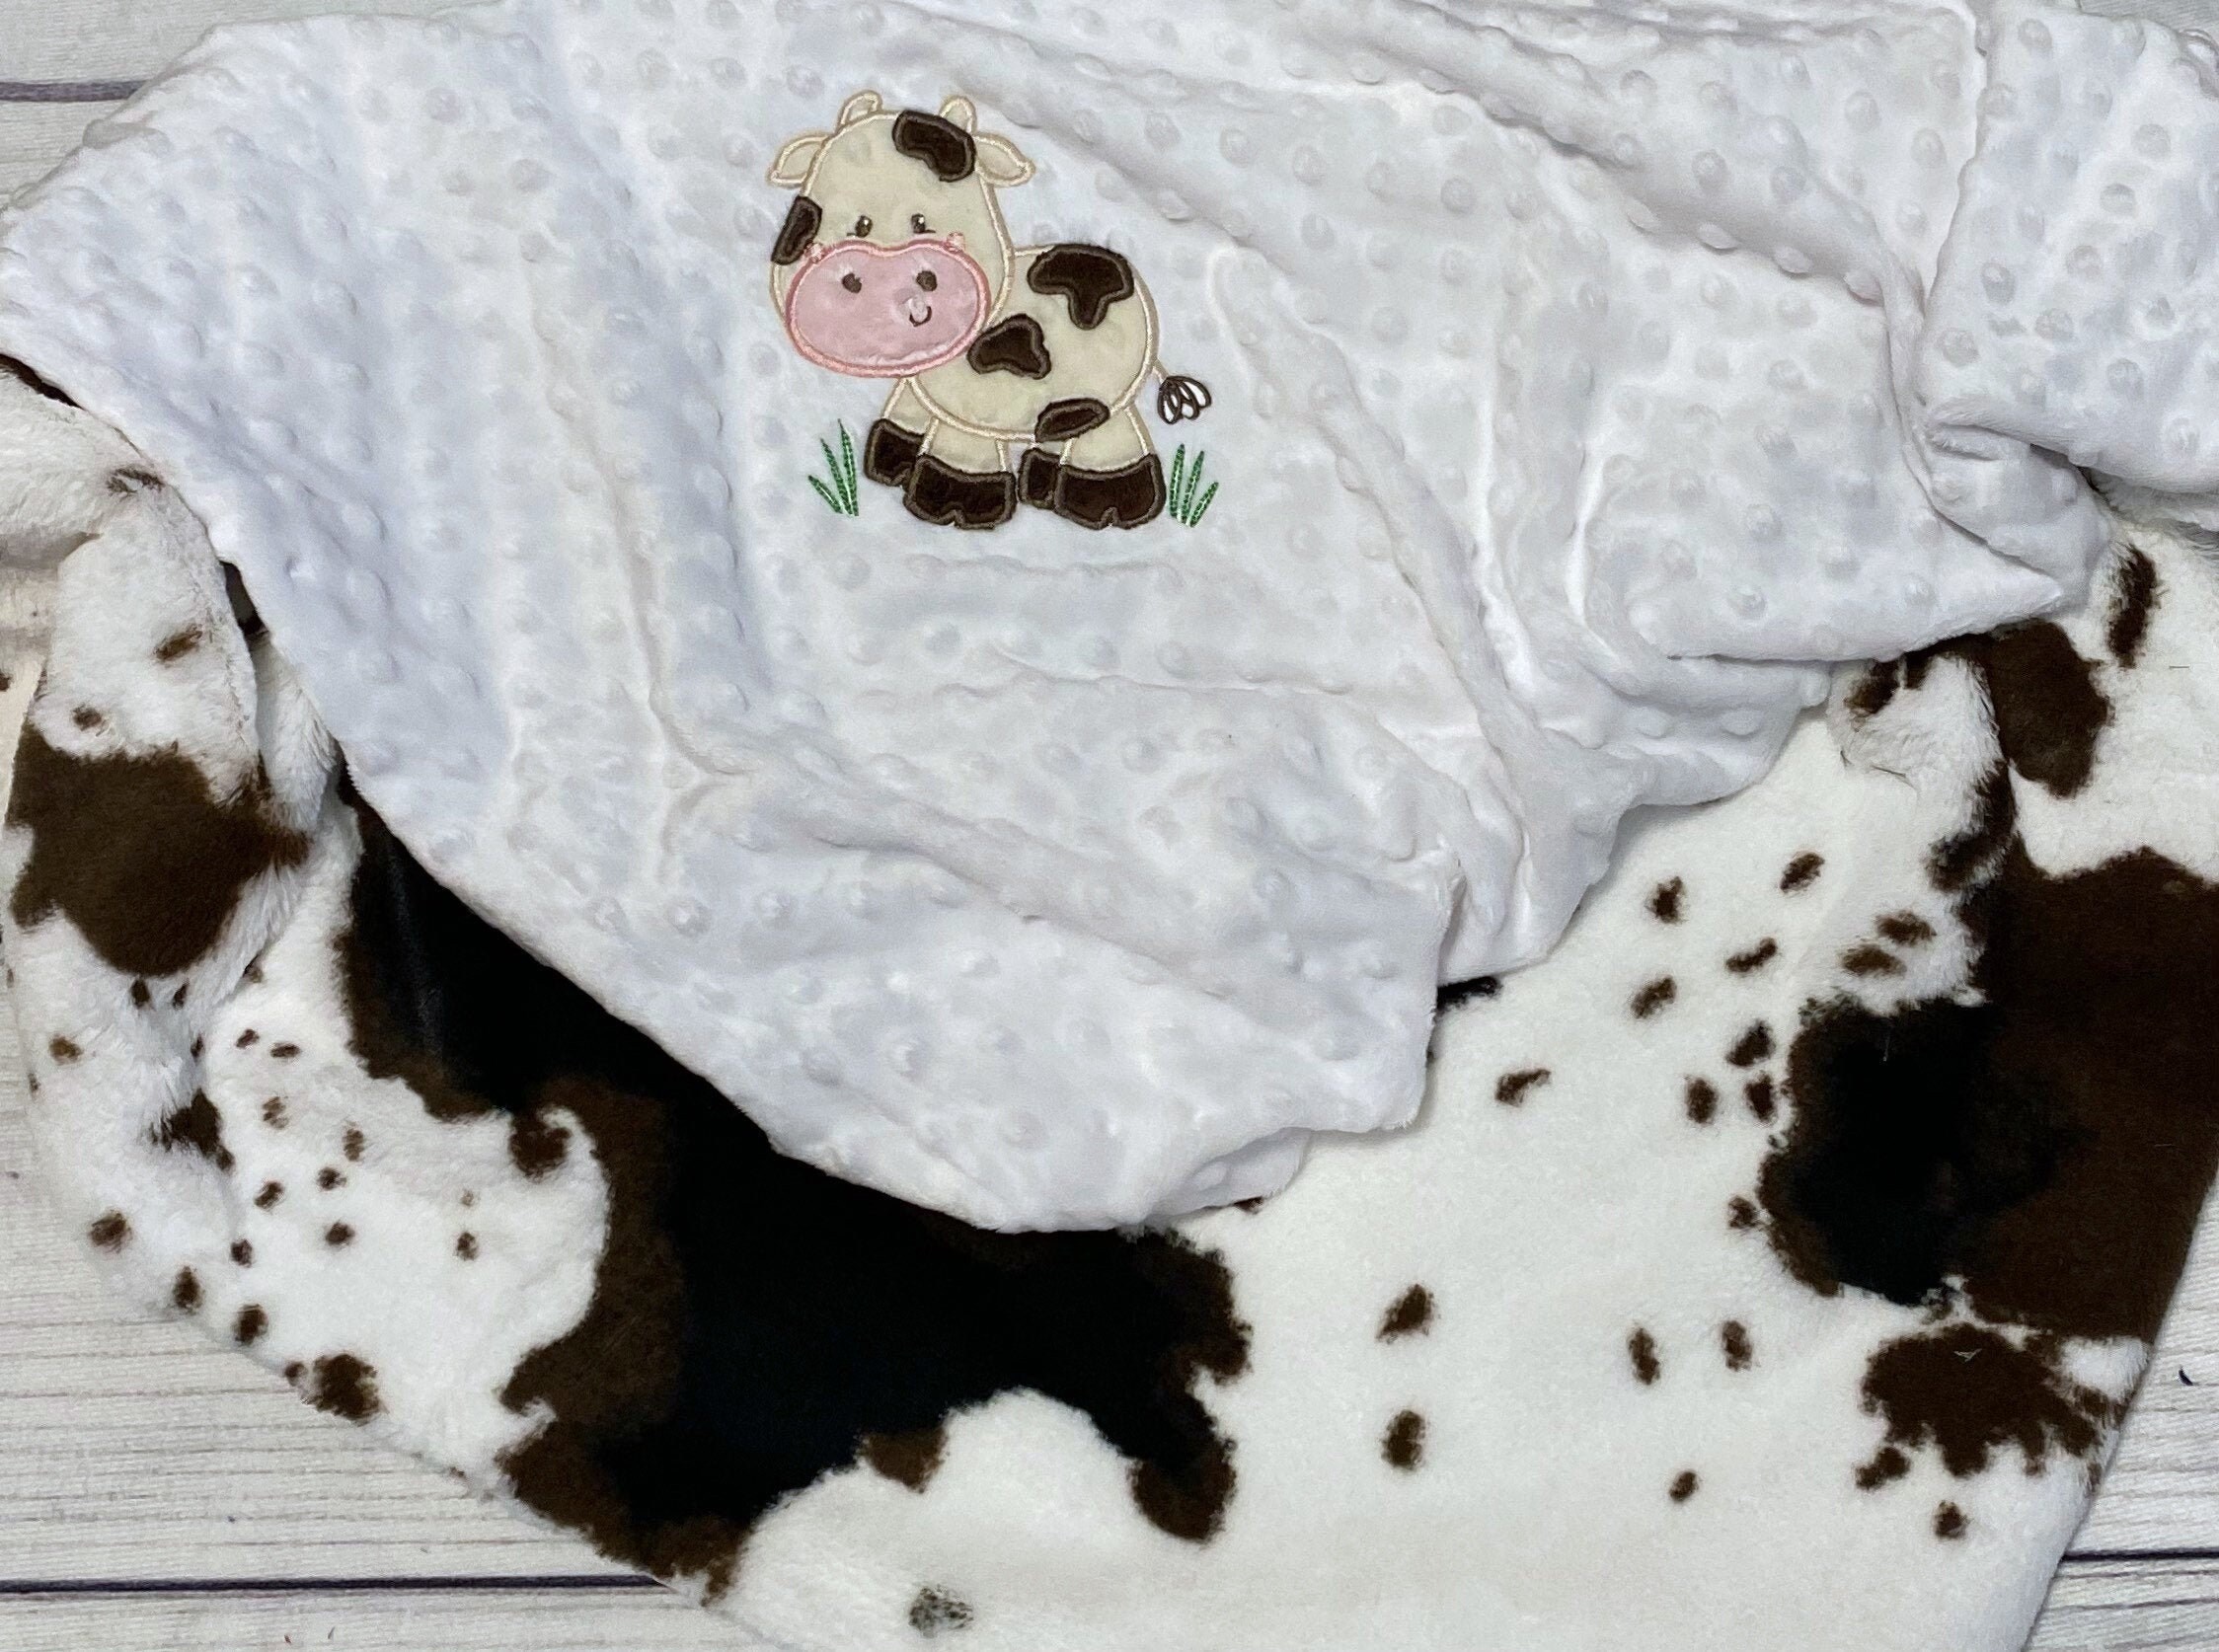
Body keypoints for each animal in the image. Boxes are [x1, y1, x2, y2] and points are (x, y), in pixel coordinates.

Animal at [766, 91, 1211, 532]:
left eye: (920, 221)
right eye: (857, 226)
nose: (856, 277)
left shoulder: (970, 408)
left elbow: (958, 455)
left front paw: (955, 504)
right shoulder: (916, 389)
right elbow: (905, 416)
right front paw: (893, 460)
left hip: (1108, 396)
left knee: (1108, 438)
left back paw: (1108, 503)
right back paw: (1041, 487)